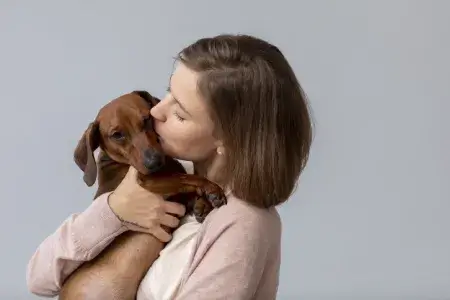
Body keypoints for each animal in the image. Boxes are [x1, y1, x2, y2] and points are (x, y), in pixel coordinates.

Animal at [59, 90, 229, 298]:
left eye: (147, 119)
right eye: (117, 135)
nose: (154, 162)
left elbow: (187, 185)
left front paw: (202, 204)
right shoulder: (149, 181)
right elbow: (188, 178)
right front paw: (211, 189)